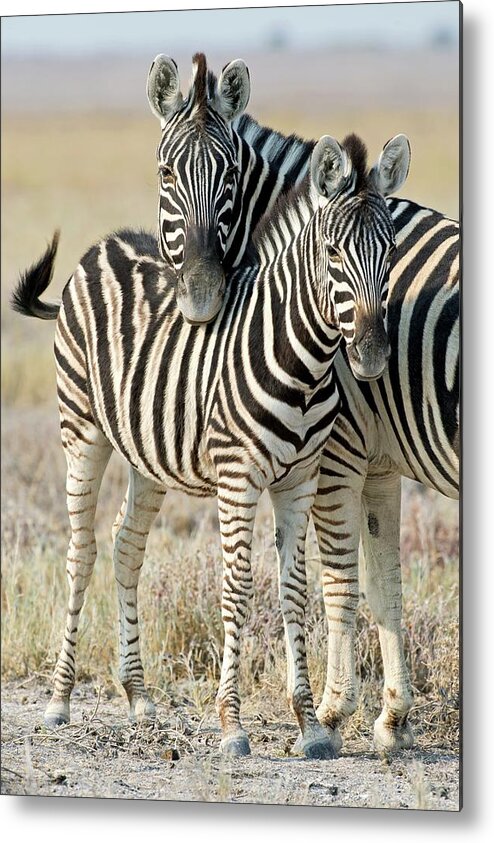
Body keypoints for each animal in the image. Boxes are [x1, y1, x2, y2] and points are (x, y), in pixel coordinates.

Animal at [12, 130, 412, 760]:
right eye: (332, 254)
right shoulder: (237, 477)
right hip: (82, 431)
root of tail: (101, 245)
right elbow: (237, 588)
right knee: (80, 553)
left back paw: (138, 695)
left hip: (147, 453)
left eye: (390, 254)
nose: (372, 356)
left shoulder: (299, 481)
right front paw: (232, 725)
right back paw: (59, 699)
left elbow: (294, 591)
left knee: (126, 545)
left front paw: (308, 725)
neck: (303, 363)